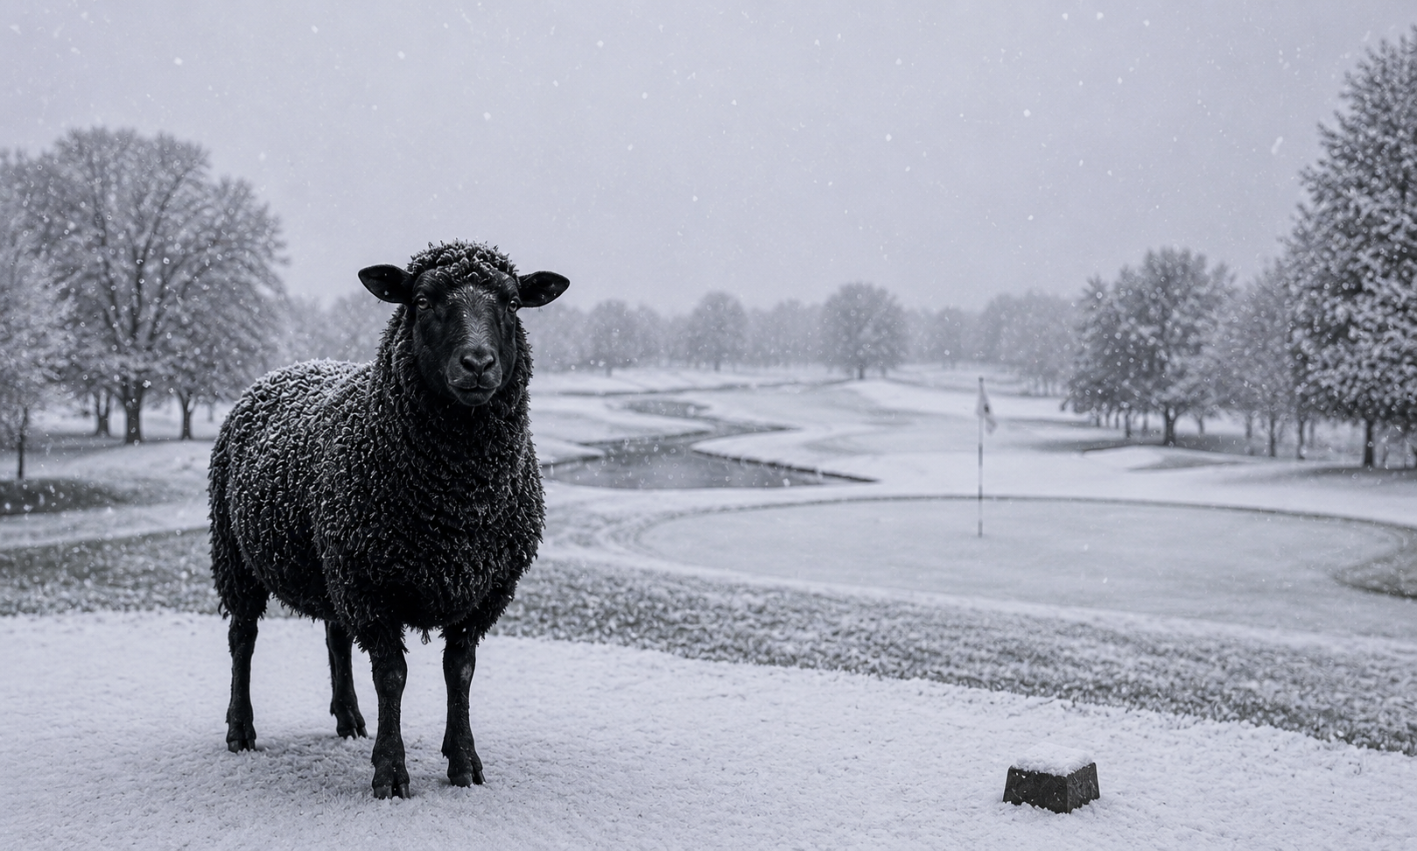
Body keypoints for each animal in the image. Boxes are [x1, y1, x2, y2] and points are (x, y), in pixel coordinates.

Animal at [208, 240, 568, 798]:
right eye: (421, 301)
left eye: (512, 303)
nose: (478, 363)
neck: (458, 501)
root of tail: (290, 368)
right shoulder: (371, 585)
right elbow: (392, 676)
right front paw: (390, 774)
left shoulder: (486, 589)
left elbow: (460, 671)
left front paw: (464, 763)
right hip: (236, 555)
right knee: (242, 638)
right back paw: (241, 730)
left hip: (330, 565)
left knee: (334, 637)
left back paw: (349, 718)